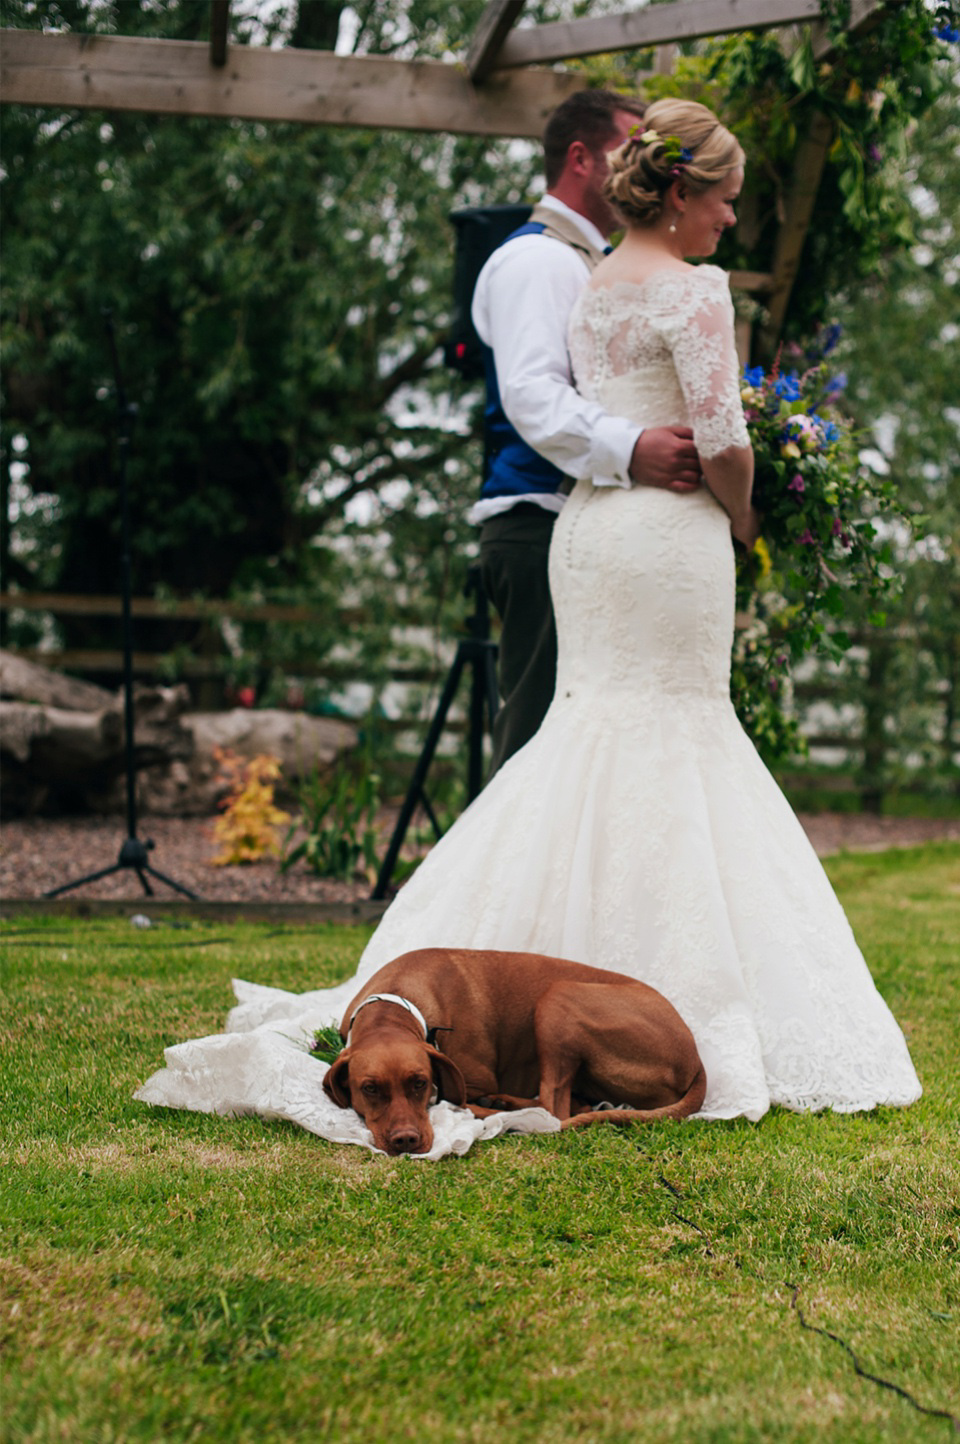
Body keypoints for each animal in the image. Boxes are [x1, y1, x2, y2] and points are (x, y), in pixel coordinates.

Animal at [321, 947, 704, 1160]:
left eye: (420, 1083)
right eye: (370, 1089)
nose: (406, 1140)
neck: (396, 999)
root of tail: (697, 1062)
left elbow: (457, 1098)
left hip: (558, 996)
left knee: (552, 1111)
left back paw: (503, 1106)